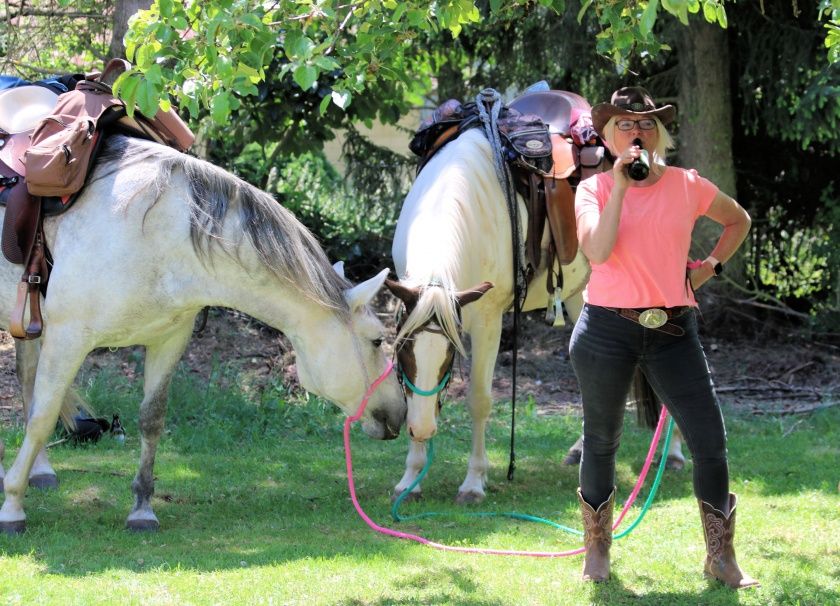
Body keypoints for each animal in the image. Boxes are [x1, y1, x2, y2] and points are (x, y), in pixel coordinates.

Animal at [0, 135, 406, 536]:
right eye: (376, 340)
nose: (399, 412)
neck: (157, 233)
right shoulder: (67, 337)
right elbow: (42, 418)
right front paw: (12, 506)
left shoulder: (167, 339)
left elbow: (151, 419)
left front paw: (142, 509)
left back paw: (41, 471)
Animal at [388, 127, 684, 504]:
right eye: (403, 354)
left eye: (448, 357)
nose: (422, 429)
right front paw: (411, 479)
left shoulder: (488, 322)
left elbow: (479, 400)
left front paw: (473, 483)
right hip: (582, 298)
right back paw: (581, 451)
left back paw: (674, 454)